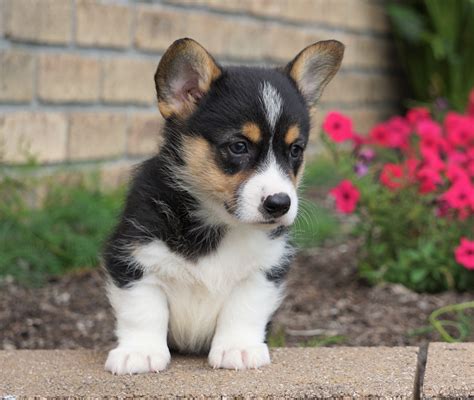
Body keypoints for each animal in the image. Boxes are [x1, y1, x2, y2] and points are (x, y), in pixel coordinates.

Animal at [102, 37, 342, 376]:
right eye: (239, 146)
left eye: (295, 150)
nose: (280, 204)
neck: (218, 222)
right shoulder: (133, 257)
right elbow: (143, 309)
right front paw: (139, 353)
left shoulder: (264, 269)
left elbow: (243, 309)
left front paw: (238, 350)